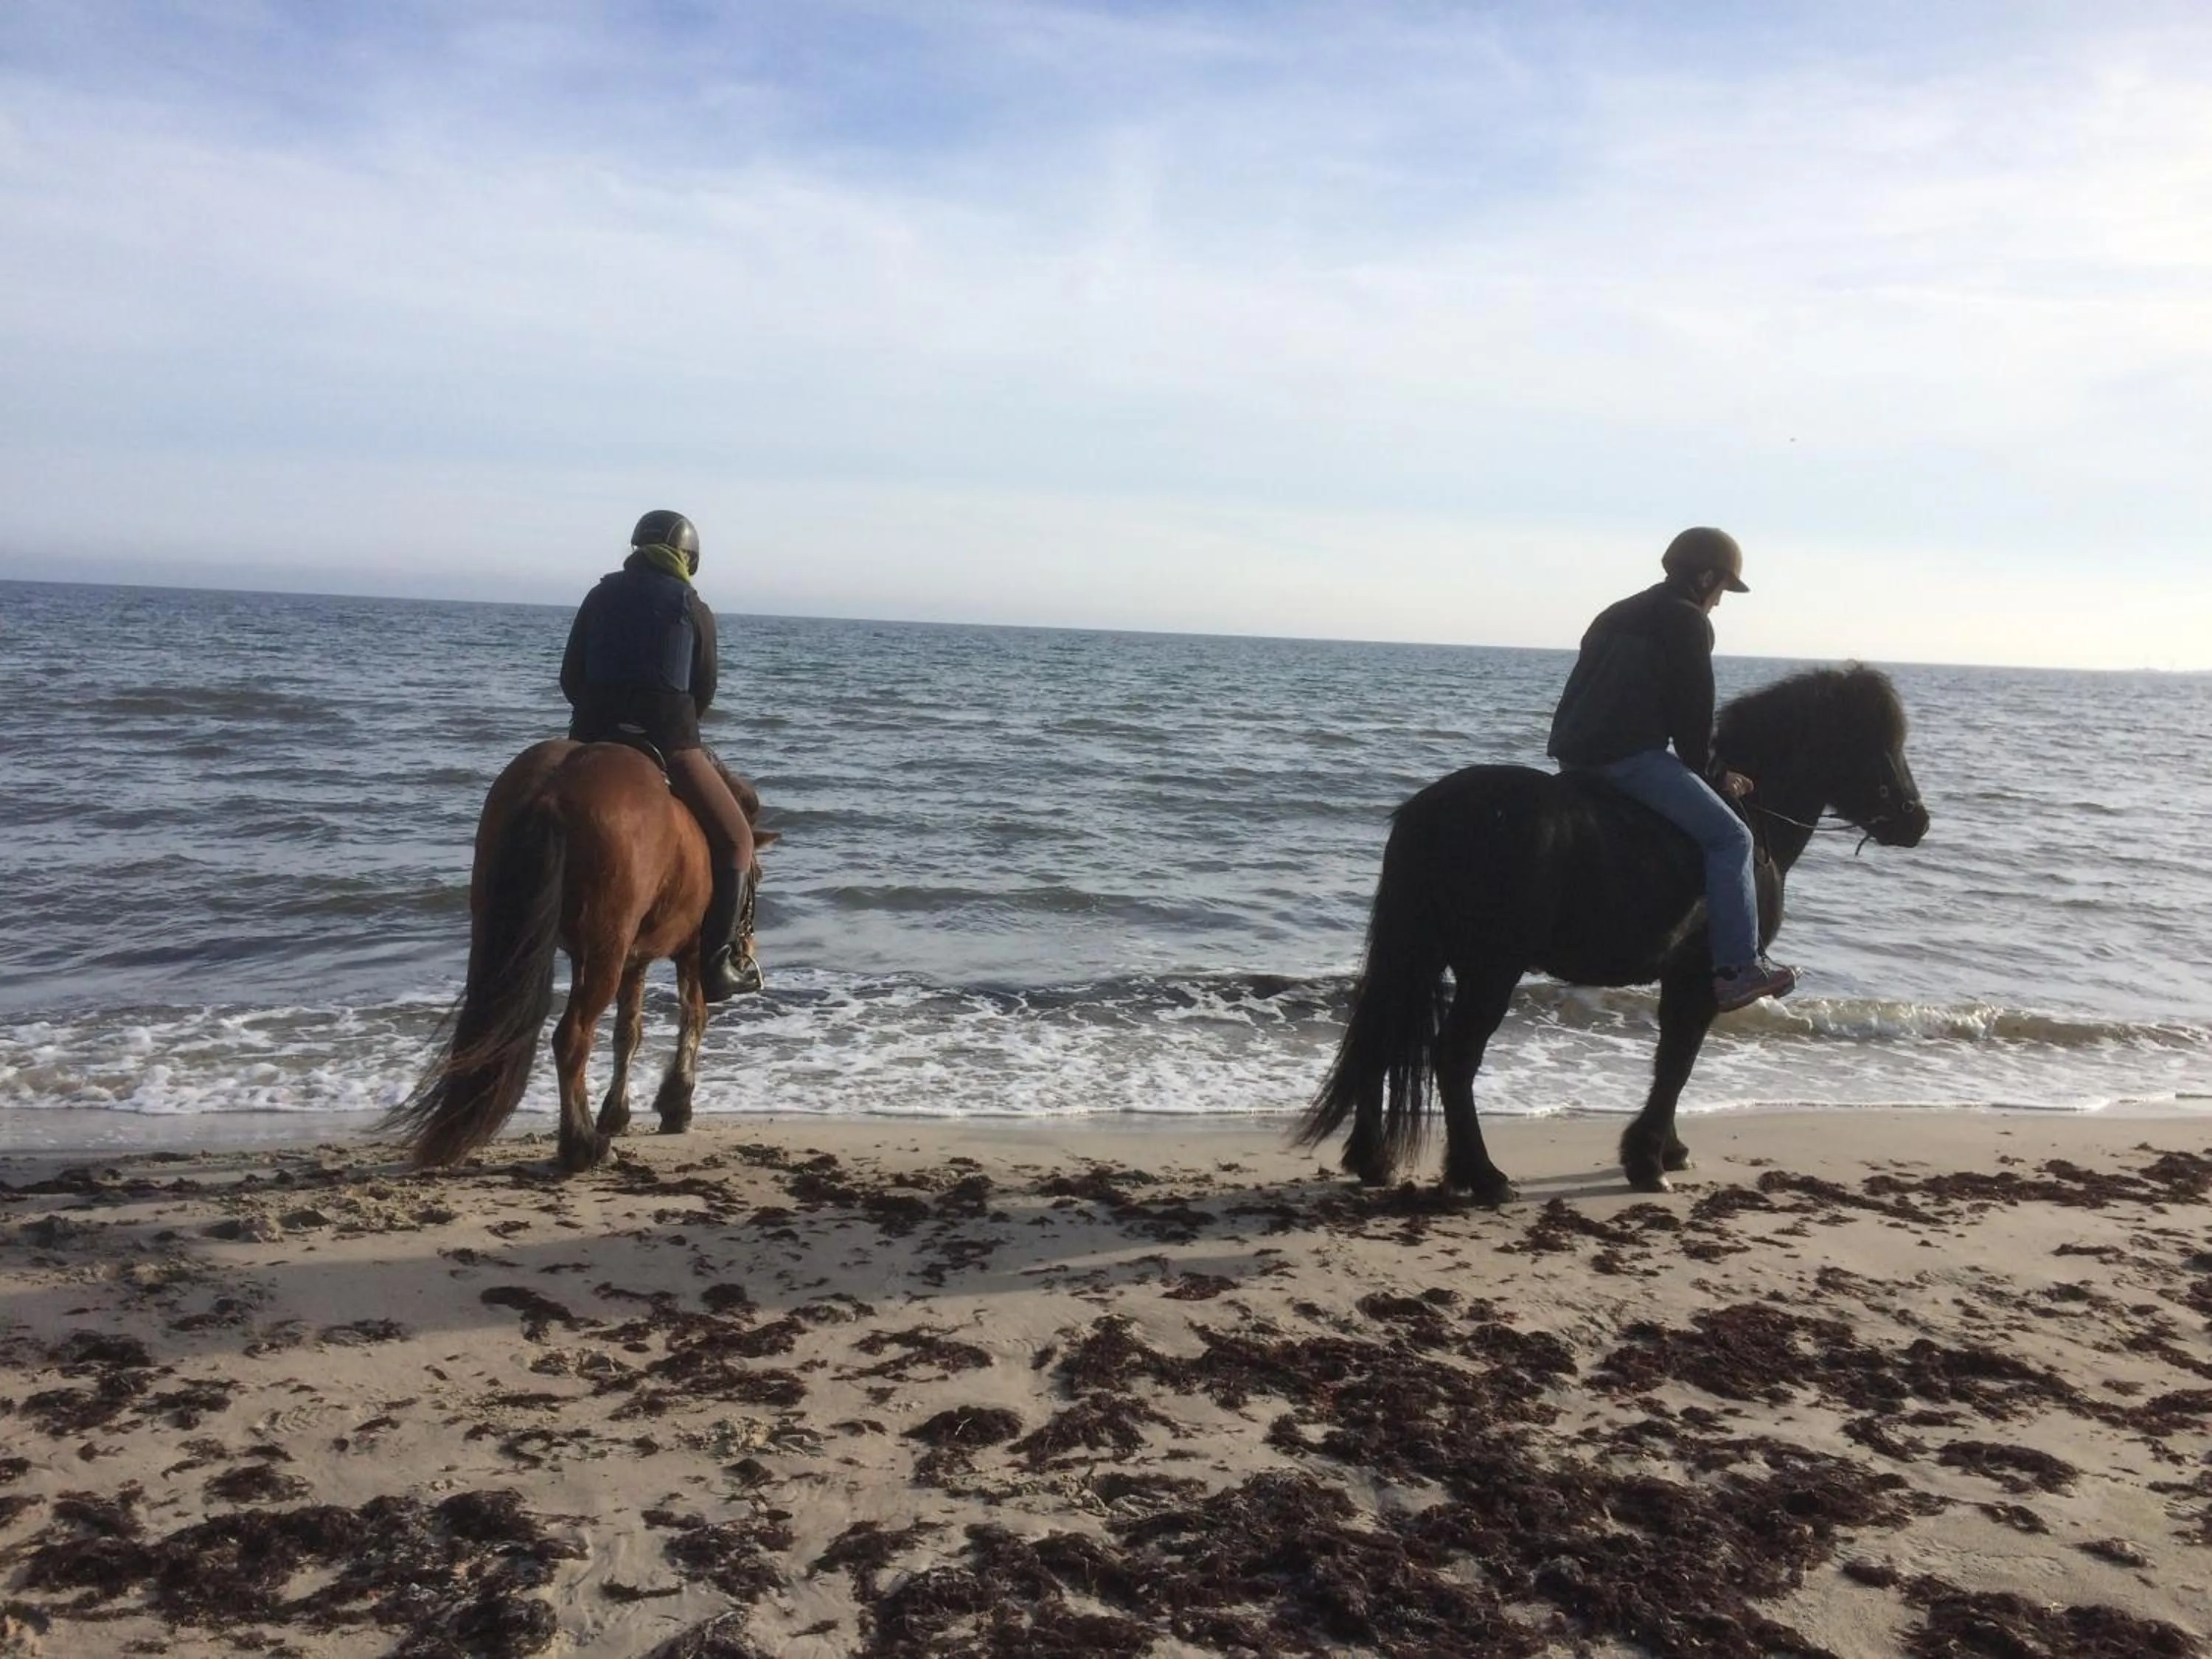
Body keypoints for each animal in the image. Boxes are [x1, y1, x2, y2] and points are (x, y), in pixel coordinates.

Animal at [384, 740, 775, 1174]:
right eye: (757, 877)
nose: (747, 950)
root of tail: (554, 788)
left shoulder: (632, 961)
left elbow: (628, 1033)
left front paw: (617, 1113)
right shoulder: (689, 953)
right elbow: (694, 1019)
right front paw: (677, 1105)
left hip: (505, 936)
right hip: (607, 951)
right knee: (572, 1038)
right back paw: (584, 1145)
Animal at [1296, 665, 1928, 1205]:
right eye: (1879, 743)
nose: (1916, 821)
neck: (1755, 815)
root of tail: (1432, 811)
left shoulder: (1681, 979)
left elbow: (1673, 1058)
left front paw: (1667, 1151)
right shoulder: (1700, 978)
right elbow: (1677, 1062)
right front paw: (1647, 1161)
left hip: (1421, 954)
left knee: (1384, 1037)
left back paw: (1375, 1161)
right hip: (1490, 969)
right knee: (1453, 1057)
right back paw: (1483, 1175)